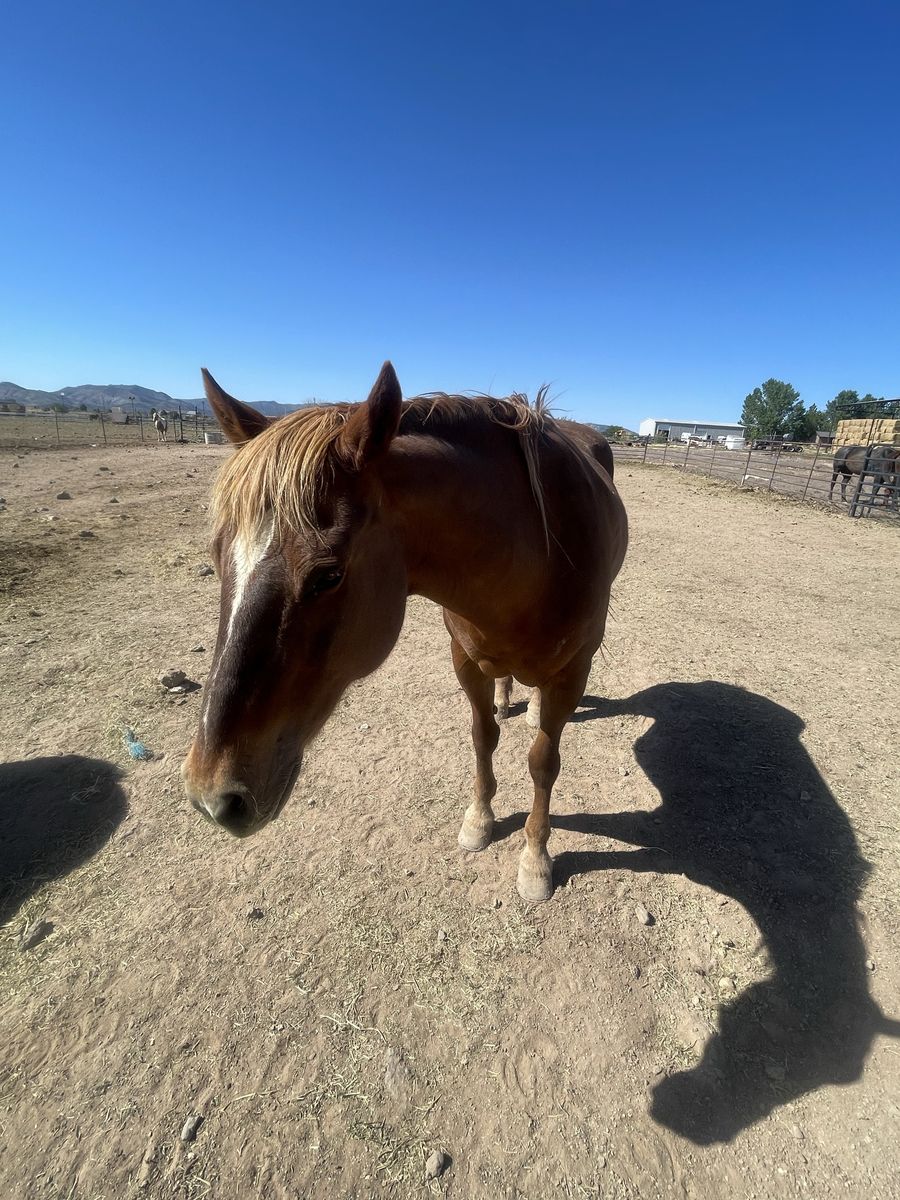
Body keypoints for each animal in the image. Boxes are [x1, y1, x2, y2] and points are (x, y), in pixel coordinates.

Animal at [182, 363, 628, 902]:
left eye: (328, 575)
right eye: (216, 556)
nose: (212, 796)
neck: (537, 555)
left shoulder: (572, 672)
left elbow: (543, 761)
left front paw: (535, 859)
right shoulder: (465, 660)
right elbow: (483, 737)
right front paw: (479, 820)